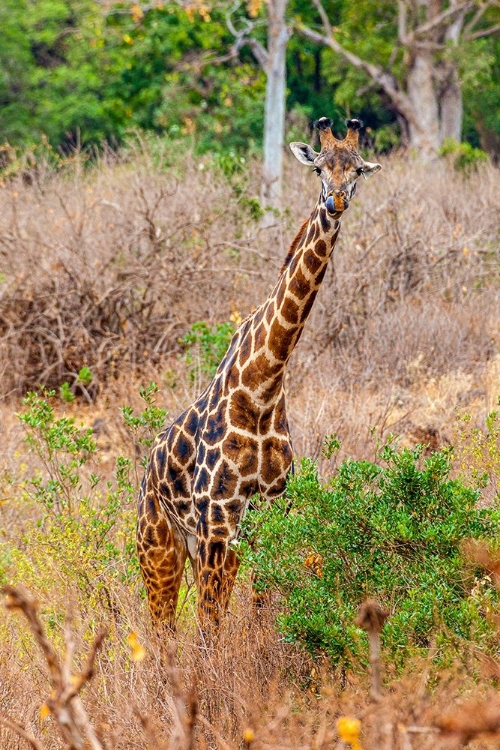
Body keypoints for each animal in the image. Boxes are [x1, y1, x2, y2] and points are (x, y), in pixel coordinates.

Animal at [135, 117, 380, 636]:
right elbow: (209, 630)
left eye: (357, 171)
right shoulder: (218, 520)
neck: (265, 385)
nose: (336, 202)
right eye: (319, 169)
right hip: (159, 546)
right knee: (163, 631)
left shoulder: (272, 510)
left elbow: (267, 608)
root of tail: (146, 474)